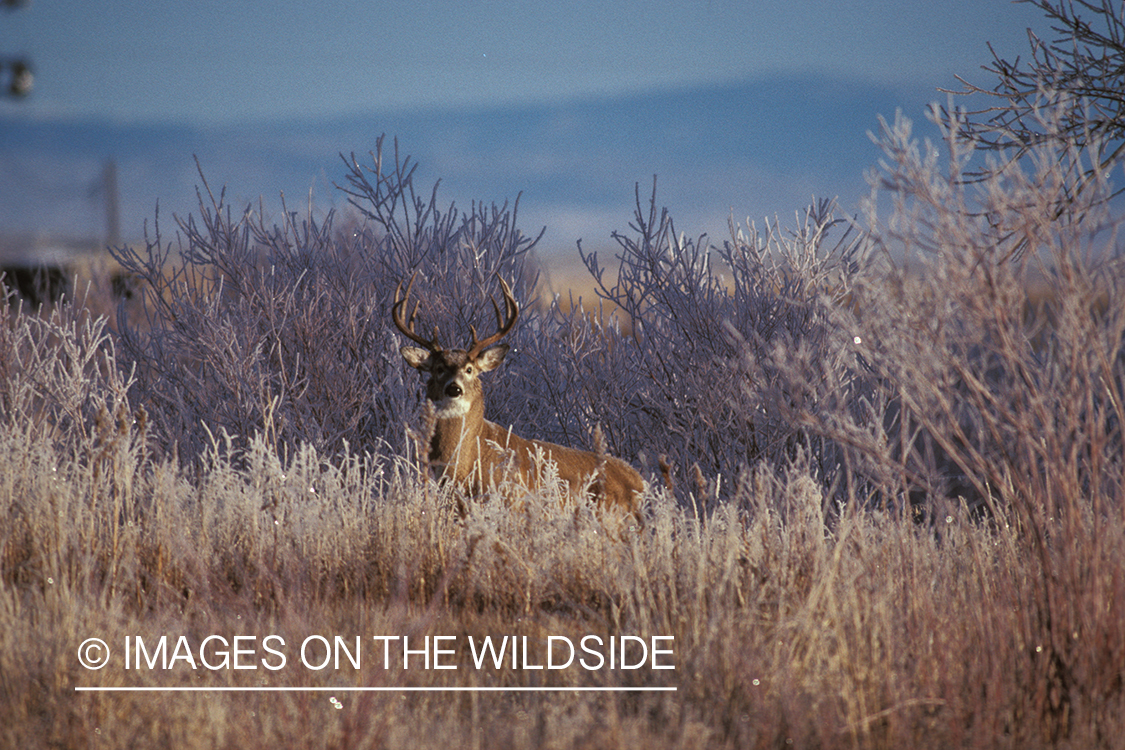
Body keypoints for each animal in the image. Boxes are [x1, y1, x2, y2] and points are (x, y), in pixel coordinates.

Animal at [393, 274, 643, 517]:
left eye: (469, 369)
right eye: (438, 369)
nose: (454, 389)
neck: (465, 467)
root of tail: (639, 482)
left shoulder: (513, 501)